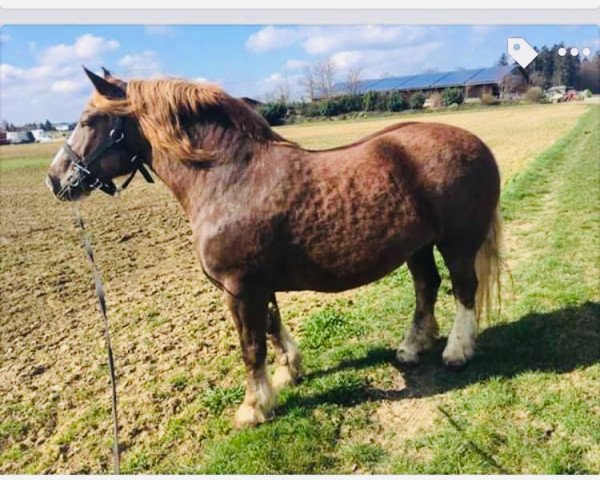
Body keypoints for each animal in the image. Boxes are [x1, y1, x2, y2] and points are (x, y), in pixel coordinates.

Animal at [47, 67, 502, 428]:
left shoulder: (239, 289)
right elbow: (271, 325)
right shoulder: (256, 286)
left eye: (89, 120)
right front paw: (289, 373)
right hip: (418, 247)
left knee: (464, 289)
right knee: (426, 287)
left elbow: (251, 347)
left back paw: (457, 351)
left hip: (457, 242)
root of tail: (476, 143)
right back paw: (412, 347)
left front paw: (255, 408)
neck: (229, 178)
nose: (56, 179)